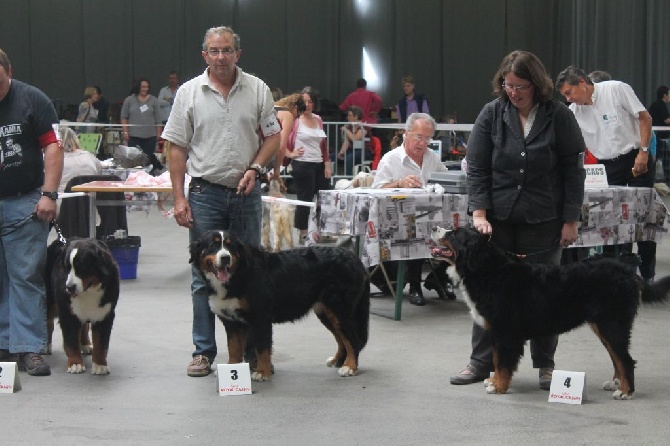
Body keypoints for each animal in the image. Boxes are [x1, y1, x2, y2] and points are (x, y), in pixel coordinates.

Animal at [46, 239, 120, 374]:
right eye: (67, 268)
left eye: (82, 267)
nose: (69, 287)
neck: (90, 291)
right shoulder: (67, 314)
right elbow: (71, 342)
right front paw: (75, 363)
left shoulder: (105, 314)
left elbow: (101, 343)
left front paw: (100, 365)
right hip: (48, 299)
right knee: (47, 321)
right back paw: (46, 346)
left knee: (84, 325)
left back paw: (85, 344)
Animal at [190, 230, 372, 380]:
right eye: (213, 245)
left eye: (230, 246)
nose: (225, 257)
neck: (238, 274)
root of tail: (354, 258)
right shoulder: (232, 322)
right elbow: (234, 348)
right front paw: (231, 369)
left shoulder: (260, 317)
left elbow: (262, 348)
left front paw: (262, 372)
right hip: (326, 312)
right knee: (342, 339)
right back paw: (337, 361)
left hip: (339, 308)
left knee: (353, 340)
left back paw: (349, 367)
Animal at [434, 226, 668, 398]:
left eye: (454, 233)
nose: (436, 228)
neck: (489, 272)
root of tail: (629, 273)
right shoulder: (497, 332)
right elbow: (496, 358)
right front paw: (493, 380)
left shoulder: (505, 332)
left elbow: (503, 362)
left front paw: (498, 386)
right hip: (603, 325)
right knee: (616, 356)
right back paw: (615, 383)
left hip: (612, 324)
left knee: (626, 359)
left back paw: (625, 391)